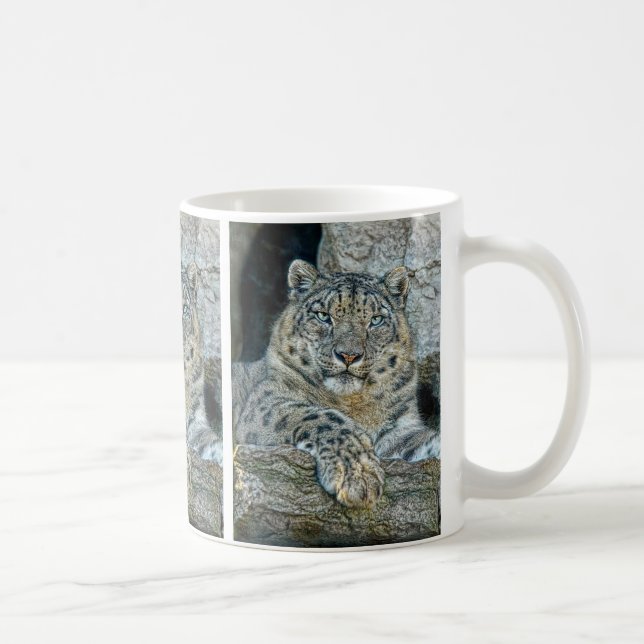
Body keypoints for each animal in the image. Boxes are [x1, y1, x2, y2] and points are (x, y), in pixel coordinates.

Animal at [233, 259, 440, 509]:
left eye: (376, 320)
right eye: (323, 316)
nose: (349, 355)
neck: (352, 403)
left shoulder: (399, 431)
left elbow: (426, 442)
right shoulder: (268, 401)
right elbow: (324, 418)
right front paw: (358, 475)